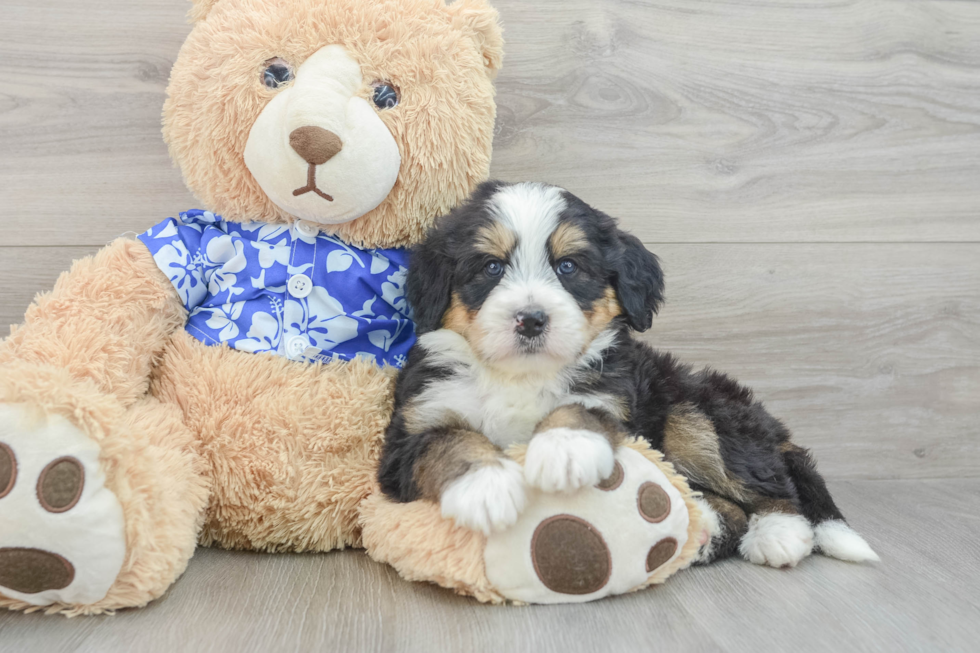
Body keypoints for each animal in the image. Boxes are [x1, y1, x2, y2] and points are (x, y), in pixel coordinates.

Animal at [378, 181, 880, 568]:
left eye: (568, 266)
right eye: (491, 266)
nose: (531, 320)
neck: (520, 376)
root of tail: (773, 428)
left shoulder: (614, 398)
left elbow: (579, 410)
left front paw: (564, 450)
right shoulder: (412, 429)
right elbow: (449, 441)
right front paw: (487, 488)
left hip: (697, 413)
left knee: (769, 483)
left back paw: (778, 533)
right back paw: (701, 529)